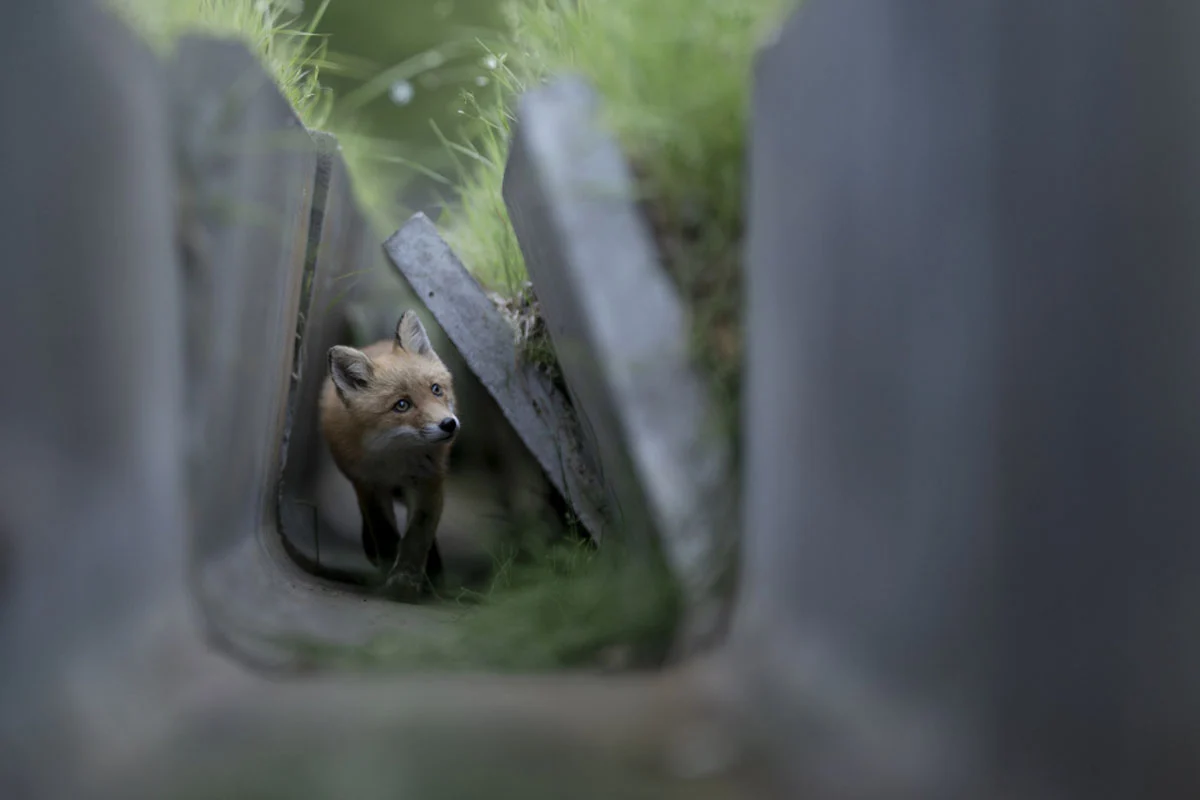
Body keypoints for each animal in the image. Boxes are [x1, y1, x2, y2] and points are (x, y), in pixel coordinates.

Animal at [319, 310, 459, 597]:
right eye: (402, 405)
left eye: (436, 389)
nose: (448, 424)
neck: (396, 459)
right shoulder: (368, 483)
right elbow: (383, 530)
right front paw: (389, 566)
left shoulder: (429, 483)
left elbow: (417, 535)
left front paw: (407, 578)